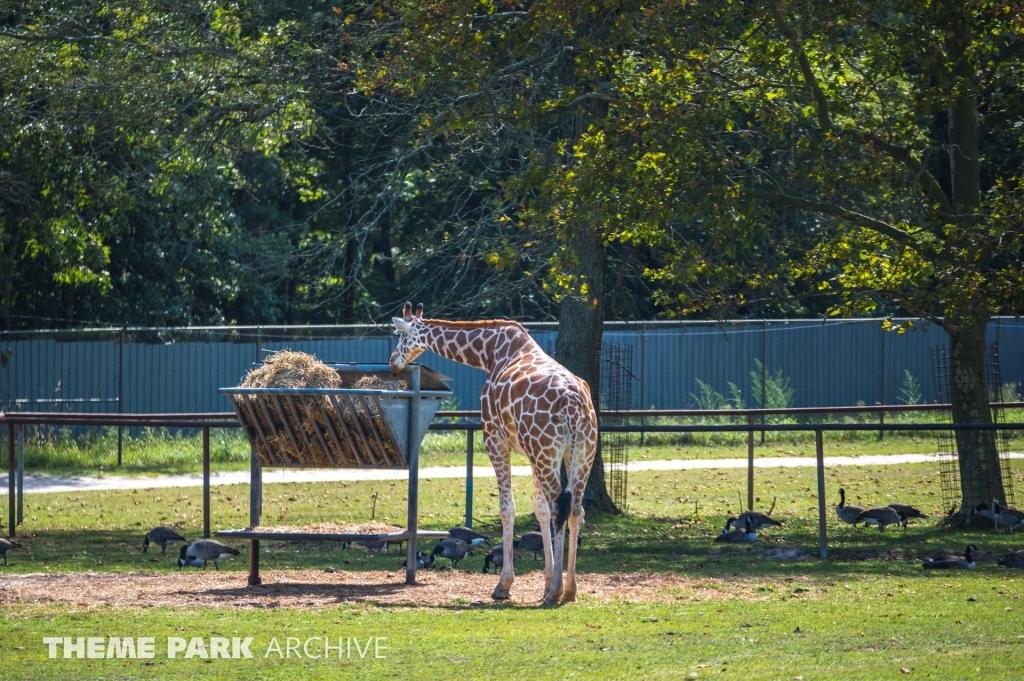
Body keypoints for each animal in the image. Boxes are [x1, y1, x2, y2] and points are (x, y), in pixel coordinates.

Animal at [391, 301, 598, 602]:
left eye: (399, 335)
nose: (393, 363)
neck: (488, 353)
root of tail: (573, 404)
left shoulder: (494, 438)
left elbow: (507, 508)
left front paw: (505, 585)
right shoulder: (531, 453)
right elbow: (540, 510)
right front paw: (546, 581)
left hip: (549, 452)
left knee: (560, 507)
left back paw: (556, 593)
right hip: (579, 453)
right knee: (574, 510)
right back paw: (569, 591)